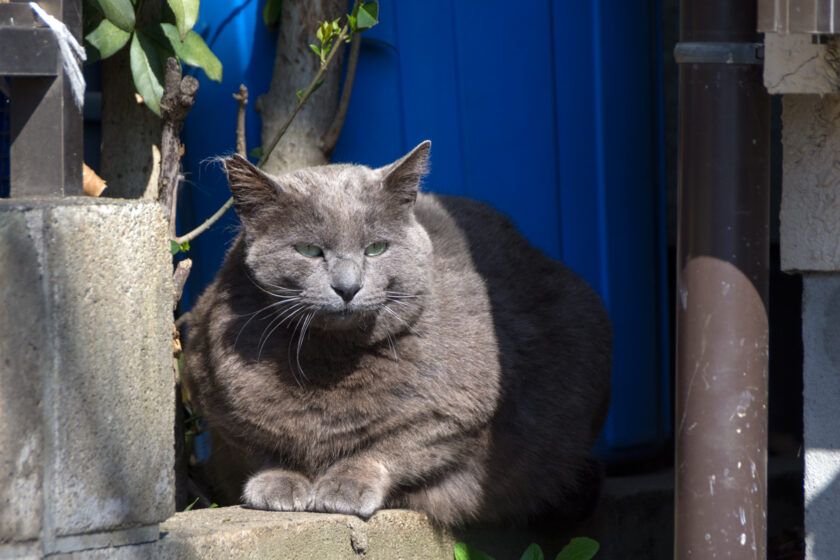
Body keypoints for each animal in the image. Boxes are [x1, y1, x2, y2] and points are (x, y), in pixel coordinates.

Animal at [184, 142, 612, 528]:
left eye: (376, 248)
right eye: (307, 250)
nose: (347, 286)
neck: (330, 364)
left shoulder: (455, 411)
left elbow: (395, 444)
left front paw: (345, 484)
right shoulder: (215, 391)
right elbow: (262, 444)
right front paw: (278, 483)